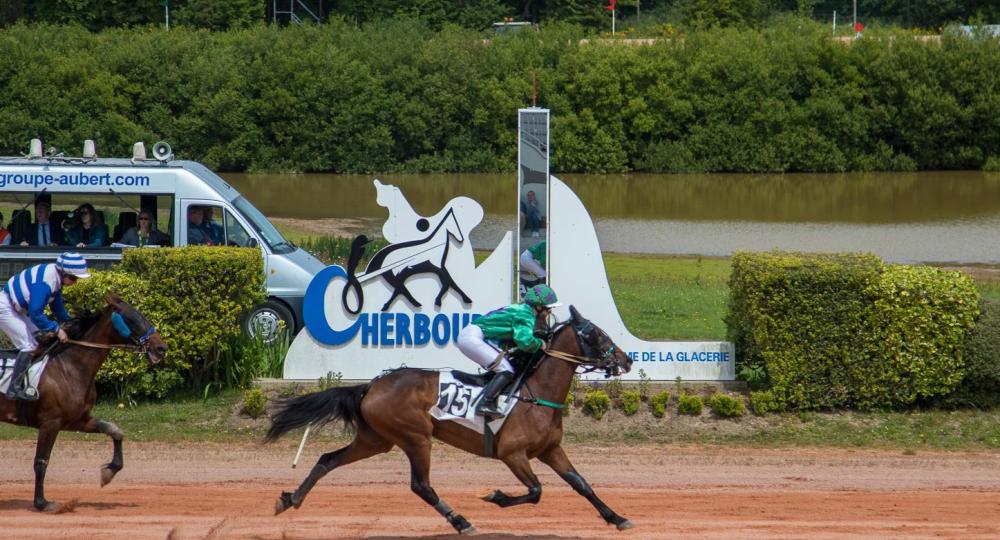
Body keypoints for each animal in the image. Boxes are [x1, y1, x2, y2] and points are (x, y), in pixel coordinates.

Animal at [0, 296, 166, 510]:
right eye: (134, 318)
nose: (161, 348)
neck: (69, 367)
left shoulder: (76, 420)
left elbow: (114, 430)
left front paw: (109, 472)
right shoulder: (50, 423)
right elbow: (41, 461)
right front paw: (42, 502)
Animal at [266, 306, 632, 532]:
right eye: (596, 334)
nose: (627, 360)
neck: (535, 392)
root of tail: (372, 385)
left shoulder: (550, 450)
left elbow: (581, 484)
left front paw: (617, 517)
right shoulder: (512, 454)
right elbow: (537, 490)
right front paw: (495, 496)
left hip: (377, 440)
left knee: (328, 460)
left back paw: (290, 499)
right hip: (415, 437)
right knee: (421, 485)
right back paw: (460, 521)